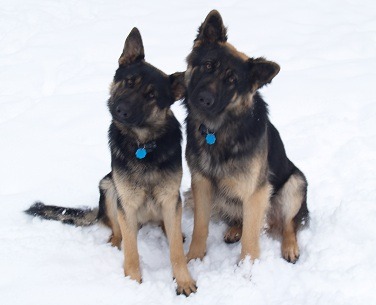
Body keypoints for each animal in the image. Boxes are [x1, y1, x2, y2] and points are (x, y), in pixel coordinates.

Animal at [25, 27, 197, 294]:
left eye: (151, 95)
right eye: (128, 82)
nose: (121, 110)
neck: (142, 146)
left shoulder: (170, 199)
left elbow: (177, 252)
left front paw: (183, 280)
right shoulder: (125, 202)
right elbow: (132, 251)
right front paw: (133, 282)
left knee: (167, 229)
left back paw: (174, 233)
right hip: (108, 187)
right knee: (119, 231)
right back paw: (116, 241)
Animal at [183, 10, 308, 262]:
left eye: (232, 80)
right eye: (208, 65)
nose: (204, 99)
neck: (217, 131)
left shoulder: (255, 192)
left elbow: (251, 238)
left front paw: (247, 268)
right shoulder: (201, 184)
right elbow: (200, 227)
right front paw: (193, 258)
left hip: (295, 183)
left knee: (289, 224)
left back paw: (290, 247)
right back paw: (233, 230)